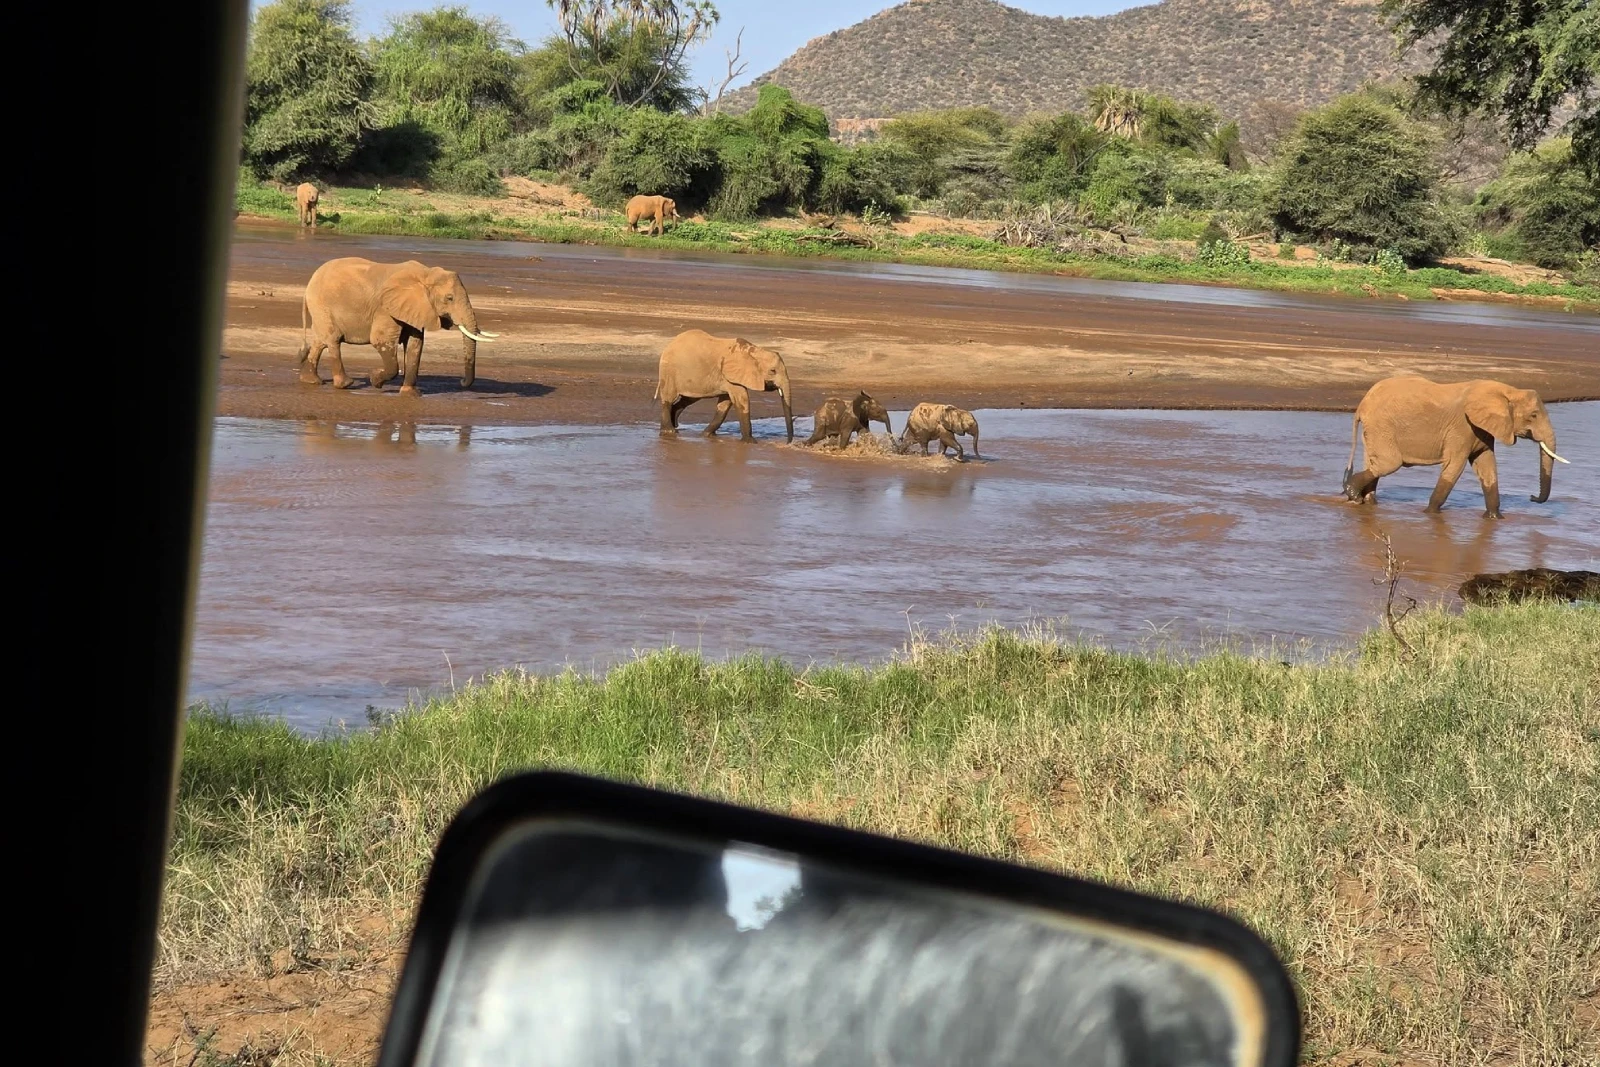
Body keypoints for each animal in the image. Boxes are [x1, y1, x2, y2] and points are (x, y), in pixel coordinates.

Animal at [296, 257, 497, 395]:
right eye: (449, 298)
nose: (462, 382)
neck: (426, 274)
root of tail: (309, 284)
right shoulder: (385, 309)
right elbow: (380, 340)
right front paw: (375, 380)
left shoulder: (415, 308)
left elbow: (416, 344)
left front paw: (411, 394)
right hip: (322, 305)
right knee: (333, 340)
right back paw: (345, 384)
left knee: (321, 341)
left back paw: (311, 381)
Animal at [655, 329, 794, 442]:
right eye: (773, 371)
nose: (788, 442)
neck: (754, 351)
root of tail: (671, 343)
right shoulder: (730, 376)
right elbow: (742, 401)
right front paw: (750, 442)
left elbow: (725, 404)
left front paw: (707, 435)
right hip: (669, 371)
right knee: (668, 398)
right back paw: (669, 431)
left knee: (688, 399)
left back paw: (675, 425)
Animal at [1343, 375, 1567, 518]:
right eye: (1534, 416)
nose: (1532, 497)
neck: (1507, 390)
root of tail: (1362, 403)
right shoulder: (1462, 428)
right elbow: (1455, 466)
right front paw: (1431, 514)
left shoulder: (1481, 429)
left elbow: (1487, 466)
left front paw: (1495, 518)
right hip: (1381, 426)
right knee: (1389, 463)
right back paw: (1352, 493)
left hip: (1375, 429)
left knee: (1374, 463)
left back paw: (1367, 502)